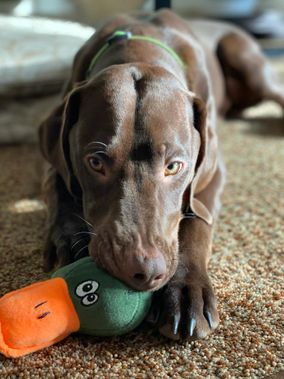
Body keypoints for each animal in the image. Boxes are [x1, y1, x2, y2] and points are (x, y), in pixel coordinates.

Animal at [38, 8, 284, 342]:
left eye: (173, 166)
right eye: (96, 162)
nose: (144, 270)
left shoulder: (210, 173)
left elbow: (196, 222)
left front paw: (185, 291)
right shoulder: (55, 159)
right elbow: (59, 188)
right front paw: (67, 238)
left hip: (247, 61)